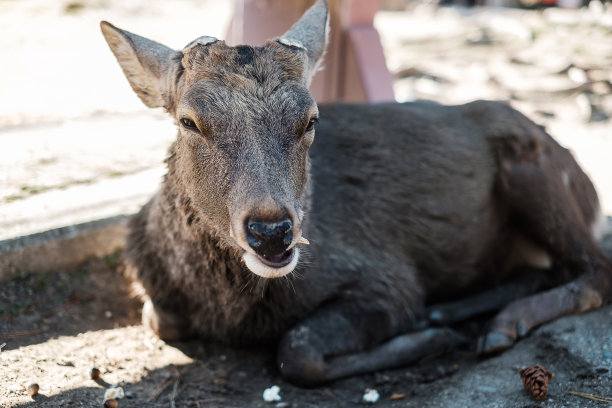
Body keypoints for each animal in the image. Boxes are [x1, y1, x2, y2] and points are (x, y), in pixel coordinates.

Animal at [99, 0, 608, 388]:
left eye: (310, 119)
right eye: (189, 121)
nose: (272, 231)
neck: (228, 307)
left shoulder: (384, 276)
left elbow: (295, 351)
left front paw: (429, 340)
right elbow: (160, 318)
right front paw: (433, 330)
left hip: (535, 170)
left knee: (595, 269)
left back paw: (494, 325)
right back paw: (452, 314)